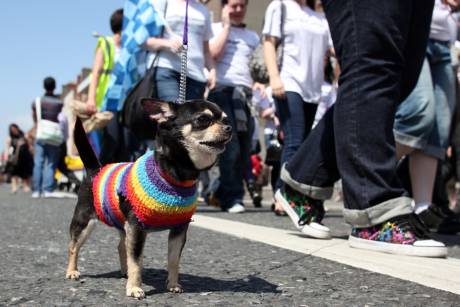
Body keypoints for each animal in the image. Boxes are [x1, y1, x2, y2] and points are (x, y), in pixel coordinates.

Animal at [66, 99, 232, 300]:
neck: (175, 174)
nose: (229, 127)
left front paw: (173, 284)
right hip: (85, 222)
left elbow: (173, 260)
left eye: (225, 119)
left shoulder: (178, 229)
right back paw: (72, 271)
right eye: (203, 119)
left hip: (122, 223)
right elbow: (137, 261)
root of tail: (95, 170)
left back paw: (124, 272)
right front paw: (134, 288)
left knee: (121, 246)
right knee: (74, 246)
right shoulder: (137, 227)